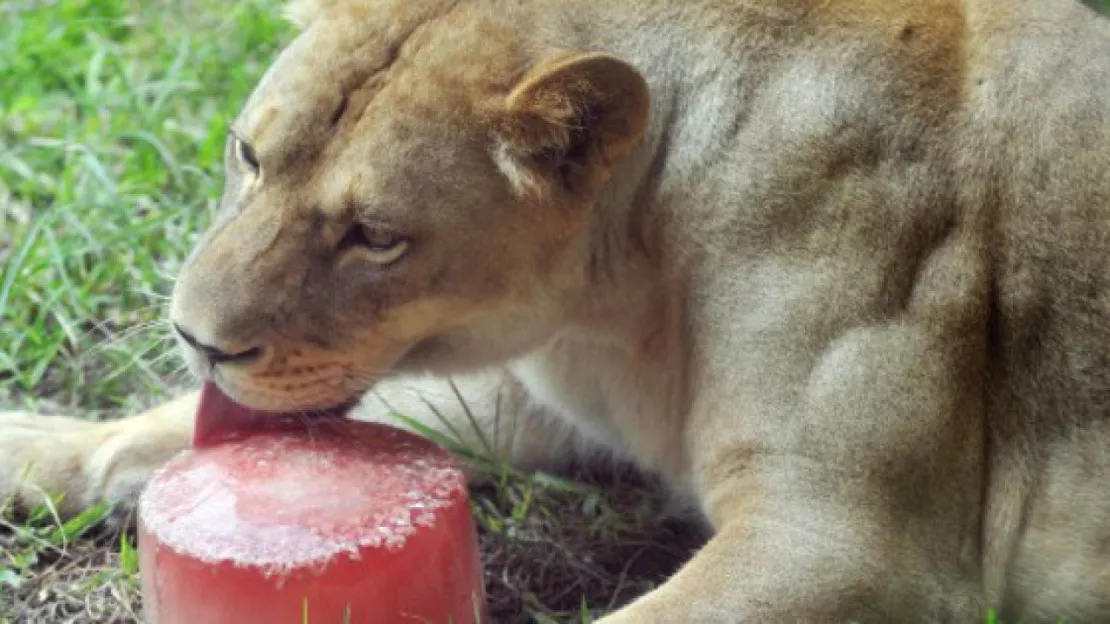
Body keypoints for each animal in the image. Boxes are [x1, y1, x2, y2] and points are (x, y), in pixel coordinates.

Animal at [2, 0, 1110, 617]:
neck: (612, 306)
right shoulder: (536, 396)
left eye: (376, 236)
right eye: (248, 153)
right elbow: (159, 435)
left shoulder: (849, 541)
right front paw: (32, 446)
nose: (197, 339)